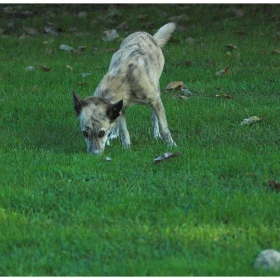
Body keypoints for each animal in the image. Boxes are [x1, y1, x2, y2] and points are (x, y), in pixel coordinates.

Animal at [73, 22, 176, 155]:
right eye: (84, 133)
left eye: (101, 133)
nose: (93, 155)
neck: (123, 80)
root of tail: (150, 36)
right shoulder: (120, 108)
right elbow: (123, 131)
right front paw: (126, 147)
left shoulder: (155, 101)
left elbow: (164, 128)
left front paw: (171, 145)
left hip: (156, 89)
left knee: (154, 117)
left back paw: (156, 134)